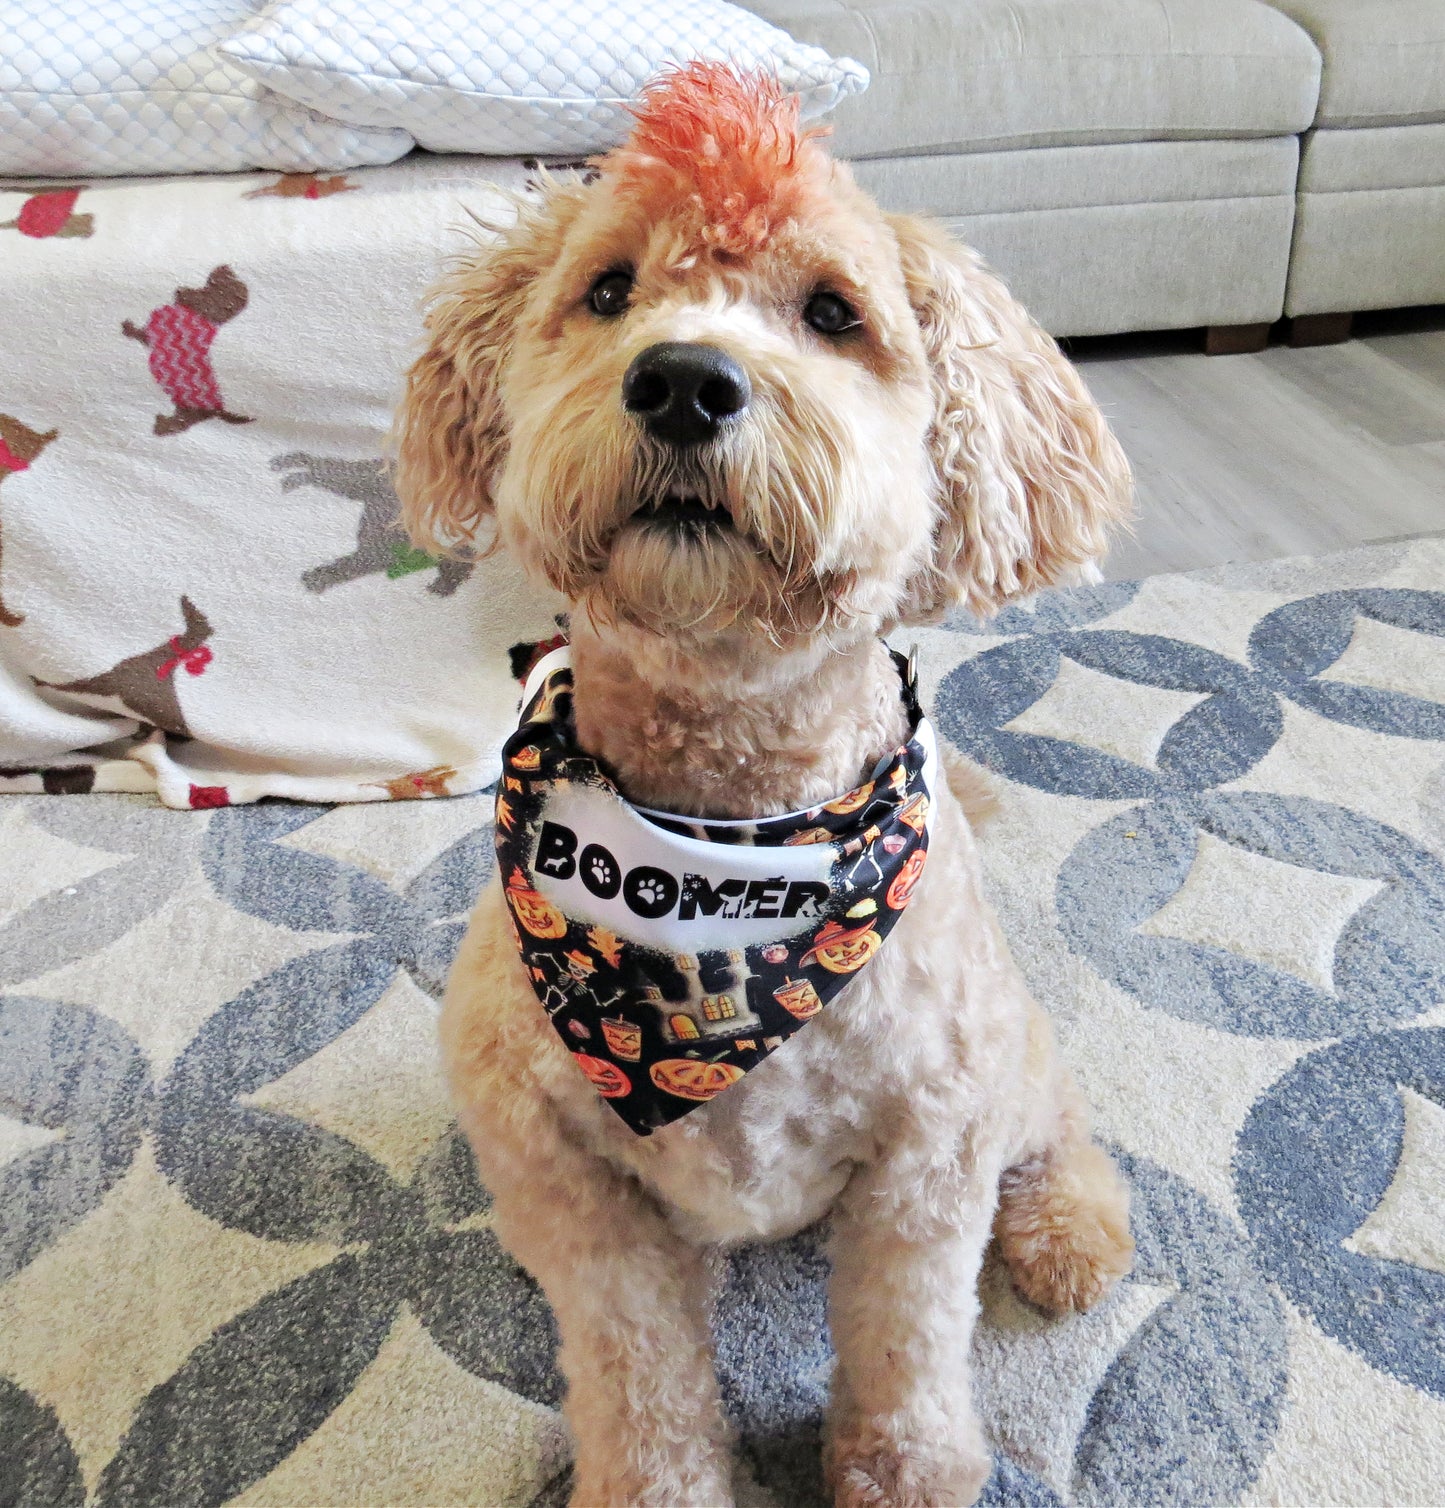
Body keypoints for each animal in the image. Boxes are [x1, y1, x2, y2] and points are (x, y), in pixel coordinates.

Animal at [395, 61, 1140, 1508]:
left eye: (833, 312)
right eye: (609, 290)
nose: (686, 379)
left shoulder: (924, 1160)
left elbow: (904, 1347)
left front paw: (905, 1475)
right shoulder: (575, 1193)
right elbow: (640, 1383)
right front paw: (656, 1486)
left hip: (1007, 1062)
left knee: (1057, 1117)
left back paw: (1068, 1228)